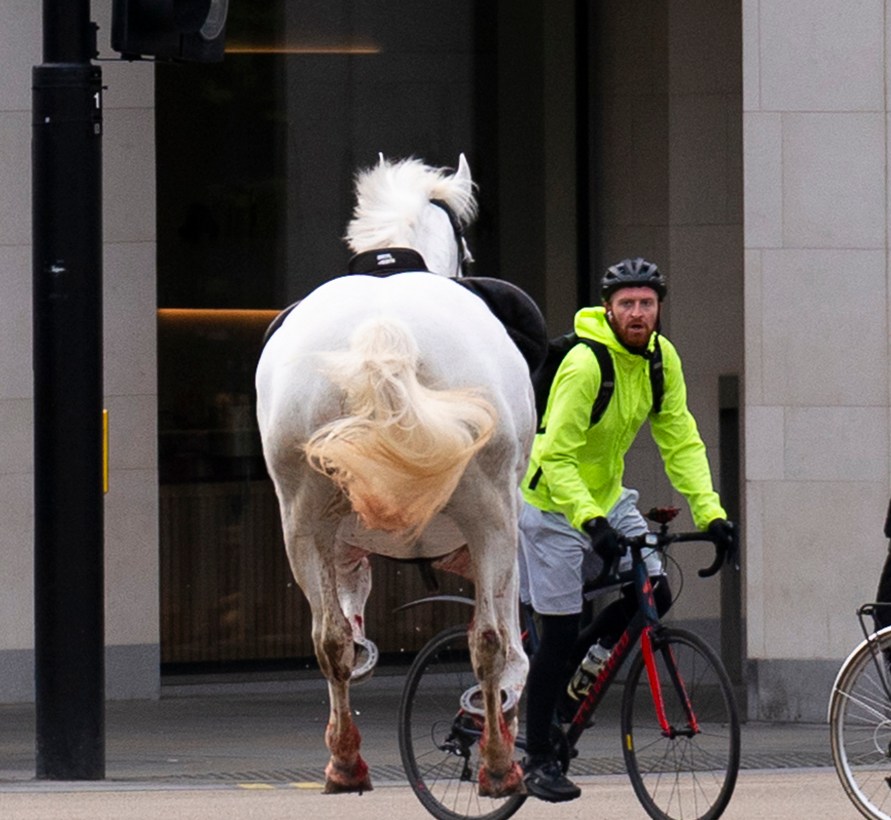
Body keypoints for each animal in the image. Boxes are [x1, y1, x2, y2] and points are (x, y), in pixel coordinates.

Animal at [256, 157, 536, 796]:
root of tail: (384, 330)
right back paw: (498, 763)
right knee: (488, 639)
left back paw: (345, 761)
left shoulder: (342, 532)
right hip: (490, 514)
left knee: (329, 639)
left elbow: (345, 608)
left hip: (302, 518)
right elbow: (508, 632)